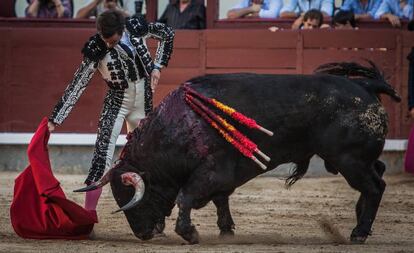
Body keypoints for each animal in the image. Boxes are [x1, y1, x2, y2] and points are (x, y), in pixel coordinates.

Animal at [75, 61, 402, 243]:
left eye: (130, 197)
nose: (142, 234)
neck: (179, 125)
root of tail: (366, 86)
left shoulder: (212, 170)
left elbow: (186, 197)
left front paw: (190, 233)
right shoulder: (222, 176)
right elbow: (220, 200)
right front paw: (225, 230)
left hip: (349, 160)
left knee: (374, 187)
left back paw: (359, 232)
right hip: (355, 160)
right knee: (379, 175)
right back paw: (360, 220)